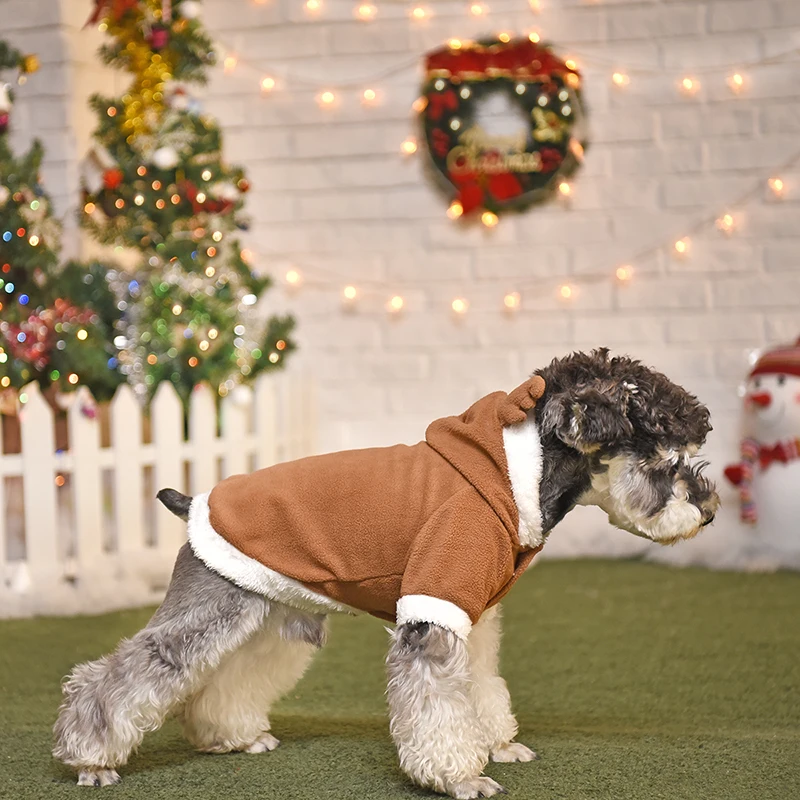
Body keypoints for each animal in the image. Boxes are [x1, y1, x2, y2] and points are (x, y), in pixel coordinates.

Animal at [54, 352, 720, 800]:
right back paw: (89, 759)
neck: (519, 477)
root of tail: (193, 500)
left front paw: (499, 743)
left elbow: (481, 688)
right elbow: (438, 707)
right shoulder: (433, 613)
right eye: (661, 460)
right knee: (121, 675)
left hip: (270, 617)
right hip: (210, 611)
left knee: (225, 681)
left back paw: (233, 736)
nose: (710, 510)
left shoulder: (473, 616)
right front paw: (461, 777)